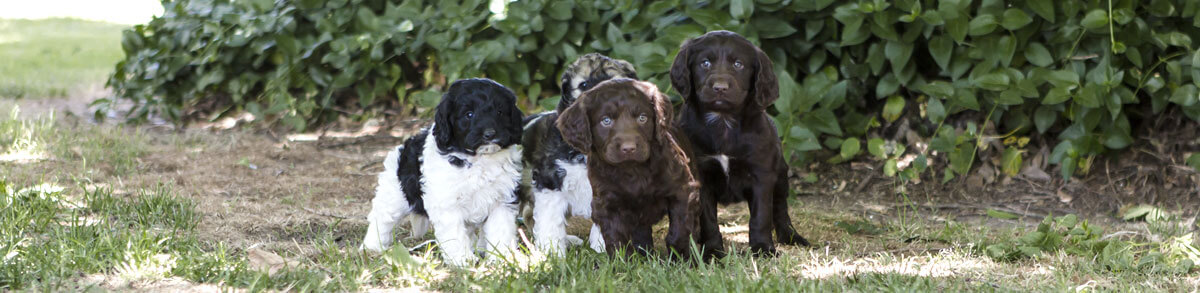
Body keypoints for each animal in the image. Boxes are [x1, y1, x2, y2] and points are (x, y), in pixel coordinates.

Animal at [357, 79, 523, 266]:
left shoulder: (502, 200)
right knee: (383, 218)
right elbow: (455, 235)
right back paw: (371, 247)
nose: (490, 133)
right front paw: (462, 260)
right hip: (395, 193)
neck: (478, 160)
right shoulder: (448, 204)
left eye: (500, 112)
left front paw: (502, 258)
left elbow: (500, 230)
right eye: (469, 114)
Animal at [554, 78, 700, 256]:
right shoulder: (607, 203)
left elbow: (679, 231)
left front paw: (681, 257)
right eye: (606, 121)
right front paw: (622, 262)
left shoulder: (683, 190)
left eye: (643, 118)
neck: (633, 170)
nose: (629, 148)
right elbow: (616, 239)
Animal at [672, 30, 811, 256]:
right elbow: (708, 219)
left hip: (781, 176)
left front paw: (763, 249)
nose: (720, 88)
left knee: (780, 209)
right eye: (705, 63)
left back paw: (792, 237)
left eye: (738, 64)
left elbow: (761, 216)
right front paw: (713, 252)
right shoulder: (701, 175)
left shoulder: (761, 174)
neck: (723, 121)